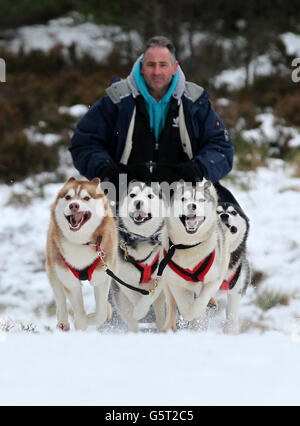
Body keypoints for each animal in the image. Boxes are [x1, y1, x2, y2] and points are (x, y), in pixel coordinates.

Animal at [46, 178, 118, 332]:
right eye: (68, 197)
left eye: (86, 198)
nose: (74, 205)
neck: (81, 242)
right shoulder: (70, 281)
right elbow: (80, 313)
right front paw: (81, 323)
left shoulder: (101, 277)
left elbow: (101, 313)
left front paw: (99, 314)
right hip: (53, 267)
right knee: (59, 296)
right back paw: (63, 323)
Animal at [113, 181, 168, 332]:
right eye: (132, 195)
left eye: (150, 196)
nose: (138, 202)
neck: (141, 238)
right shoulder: (123, 279)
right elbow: (133, 295)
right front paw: (138, 311)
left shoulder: (160, 279)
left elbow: (150, 295)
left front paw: (140, 310)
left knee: (160, 314)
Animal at [162, 178, 230, 332]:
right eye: (183, 199)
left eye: (201, 199)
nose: (192, 206)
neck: (189, 246)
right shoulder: (176, 283)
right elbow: (186, 309)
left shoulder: (213, 280)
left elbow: (200, 304)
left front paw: (197, 318)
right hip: (166, 284)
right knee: (171, 305)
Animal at [216, 201, 251, 334]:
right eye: (217, 211)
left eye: (233, 212)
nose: (224, 215)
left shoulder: (237, 286)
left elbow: (231, 311)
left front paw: (230, 330)